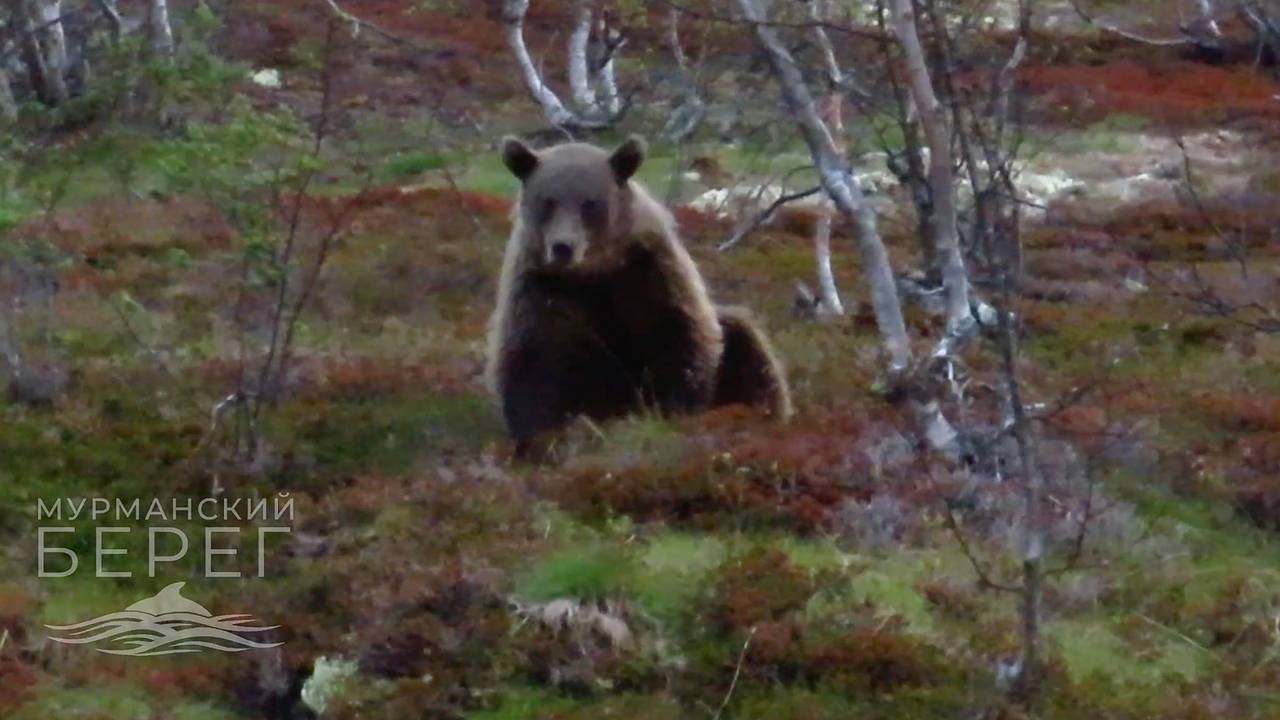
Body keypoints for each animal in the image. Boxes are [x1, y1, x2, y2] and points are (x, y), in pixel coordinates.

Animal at [486, 134, 788, 448]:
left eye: (589, 203)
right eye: (548, 201)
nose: (563, 247)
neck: (594, 271)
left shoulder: (649, 272)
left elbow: (680, 338)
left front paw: (675, 411)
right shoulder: (543, 288)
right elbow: (533, 361)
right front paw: (541, 437)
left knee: (749, 348)